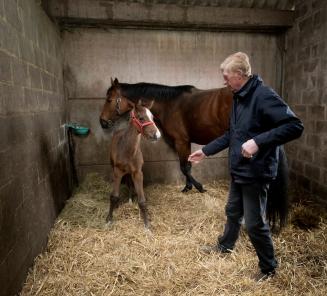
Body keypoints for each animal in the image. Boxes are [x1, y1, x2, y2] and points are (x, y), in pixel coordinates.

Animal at [100, 78, 290, 229]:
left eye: (109, 99)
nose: (102, 122)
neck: (170, 104)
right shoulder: (185, 142)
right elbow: (188, 165)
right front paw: (188, 187)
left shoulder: (181, 141)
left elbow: (185, 167)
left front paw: (198, 187)